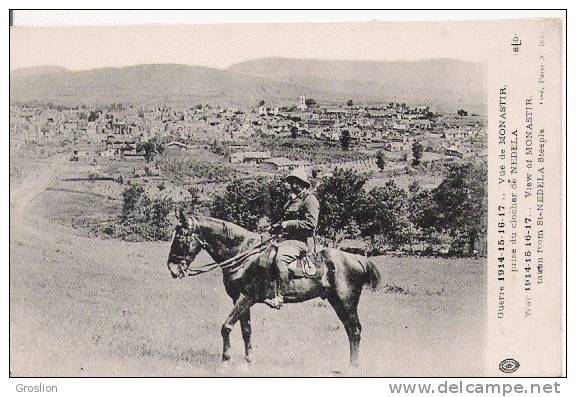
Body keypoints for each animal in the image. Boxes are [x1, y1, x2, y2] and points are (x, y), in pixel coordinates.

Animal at [164, 215, 380, 366]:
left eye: (181, 237)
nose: (172, 269)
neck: (243, 254)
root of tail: (358, 259)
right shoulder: (239, 299)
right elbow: (246, 330)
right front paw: (248, 361)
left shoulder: (246, 297)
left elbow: (226, 326)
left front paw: (225, 361)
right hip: (337, 302)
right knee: (351, 331)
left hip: (346, 302)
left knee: (355, 330)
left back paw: (354, 367)